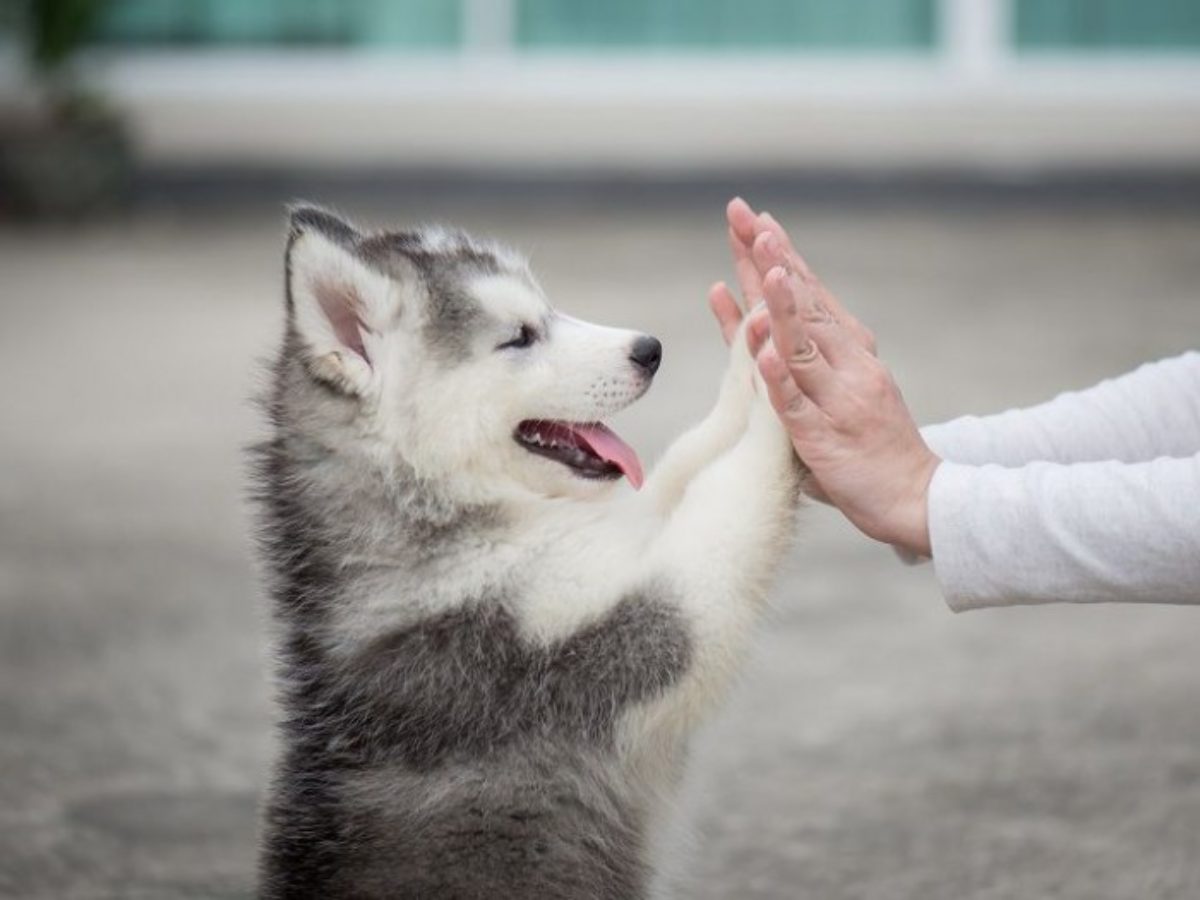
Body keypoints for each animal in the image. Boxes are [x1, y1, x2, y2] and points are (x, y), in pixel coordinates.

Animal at [248, 207, 801, 897]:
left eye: (548, 309)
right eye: (519, 337)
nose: (649, 350)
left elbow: (683, 464)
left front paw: (753, 347)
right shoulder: (595, 641)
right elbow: (726, 501)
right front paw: (783, 381)